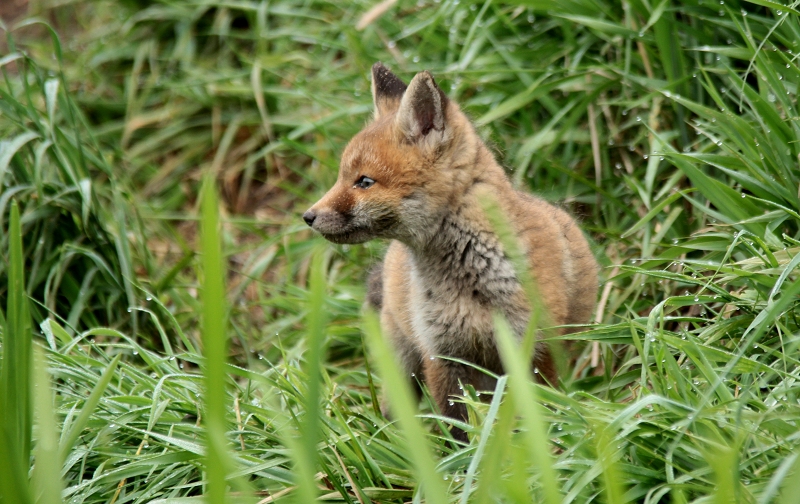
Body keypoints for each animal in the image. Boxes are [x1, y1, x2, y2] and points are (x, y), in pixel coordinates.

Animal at [304, 62, 596, 440]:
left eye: (364, 181)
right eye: (343, 177)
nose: (308, 216)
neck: (470, 281)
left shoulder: (535, 347)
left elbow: (540, 412)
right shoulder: (442, 355)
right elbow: (456, 426)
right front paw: (462, 457)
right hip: (404, 362)